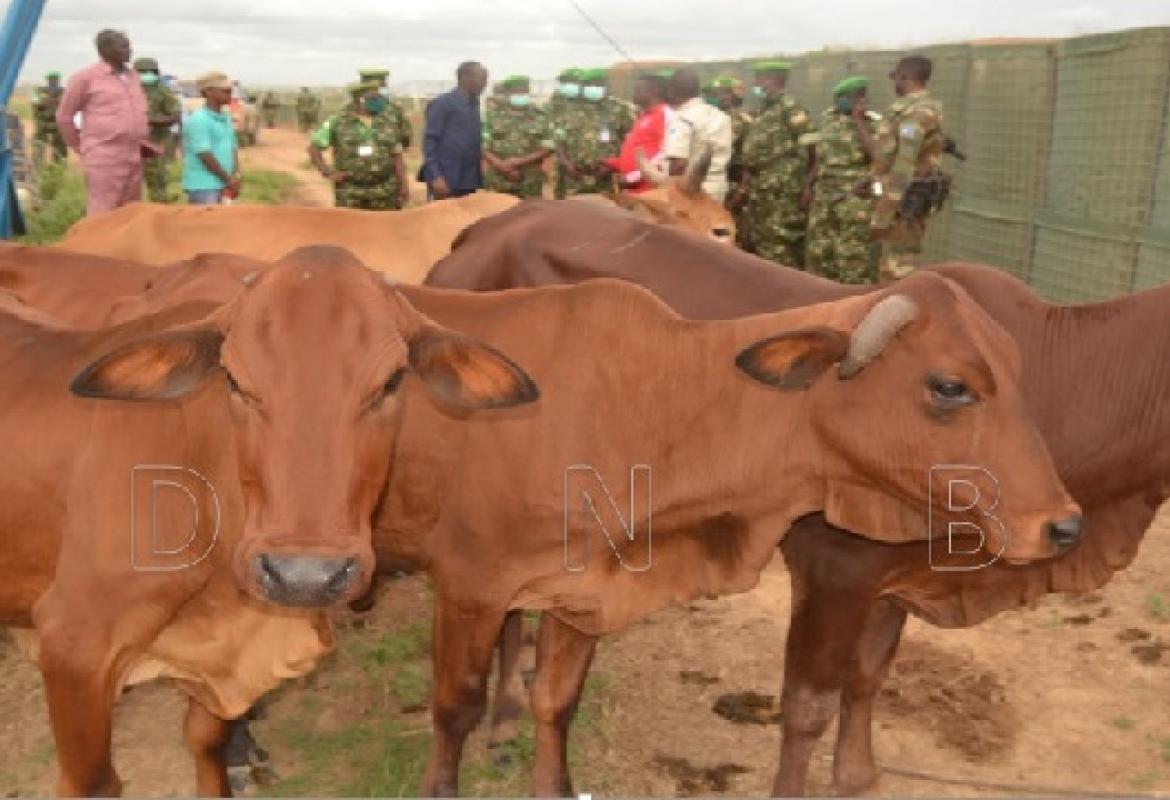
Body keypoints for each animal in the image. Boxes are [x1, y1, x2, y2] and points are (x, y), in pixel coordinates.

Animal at [0, 246, 538, 796]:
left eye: (390, 382)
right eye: (235, 381)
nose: (304, 576)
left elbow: (206, 740)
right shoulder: (74, 644)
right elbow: (95, 782)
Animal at [424, 198, 1170, 796]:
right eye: (951, 387)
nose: (1061, 527)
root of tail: (484, 228)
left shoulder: (895, 576)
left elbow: (869, 677)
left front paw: (858, 776)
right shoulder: (835, 568)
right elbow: (809, 704)